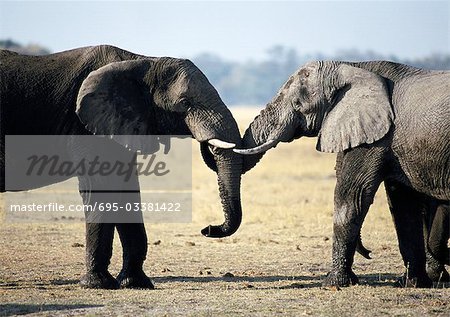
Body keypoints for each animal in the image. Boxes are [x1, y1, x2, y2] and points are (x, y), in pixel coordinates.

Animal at [0, 45, 246, 288]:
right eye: (185, 103)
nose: (208, 229)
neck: (144, 61)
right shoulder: (86, 126)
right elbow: (101, 189)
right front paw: (98, 284)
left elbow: (127, 190)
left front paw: (136, 283)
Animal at [236, 60, 450, 288]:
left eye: (297, 104)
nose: (369, 253)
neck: (351, 66)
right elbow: (403, 205)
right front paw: (411, 283)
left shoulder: (374, 137)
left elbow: (352, 196)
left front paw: (333, 283)